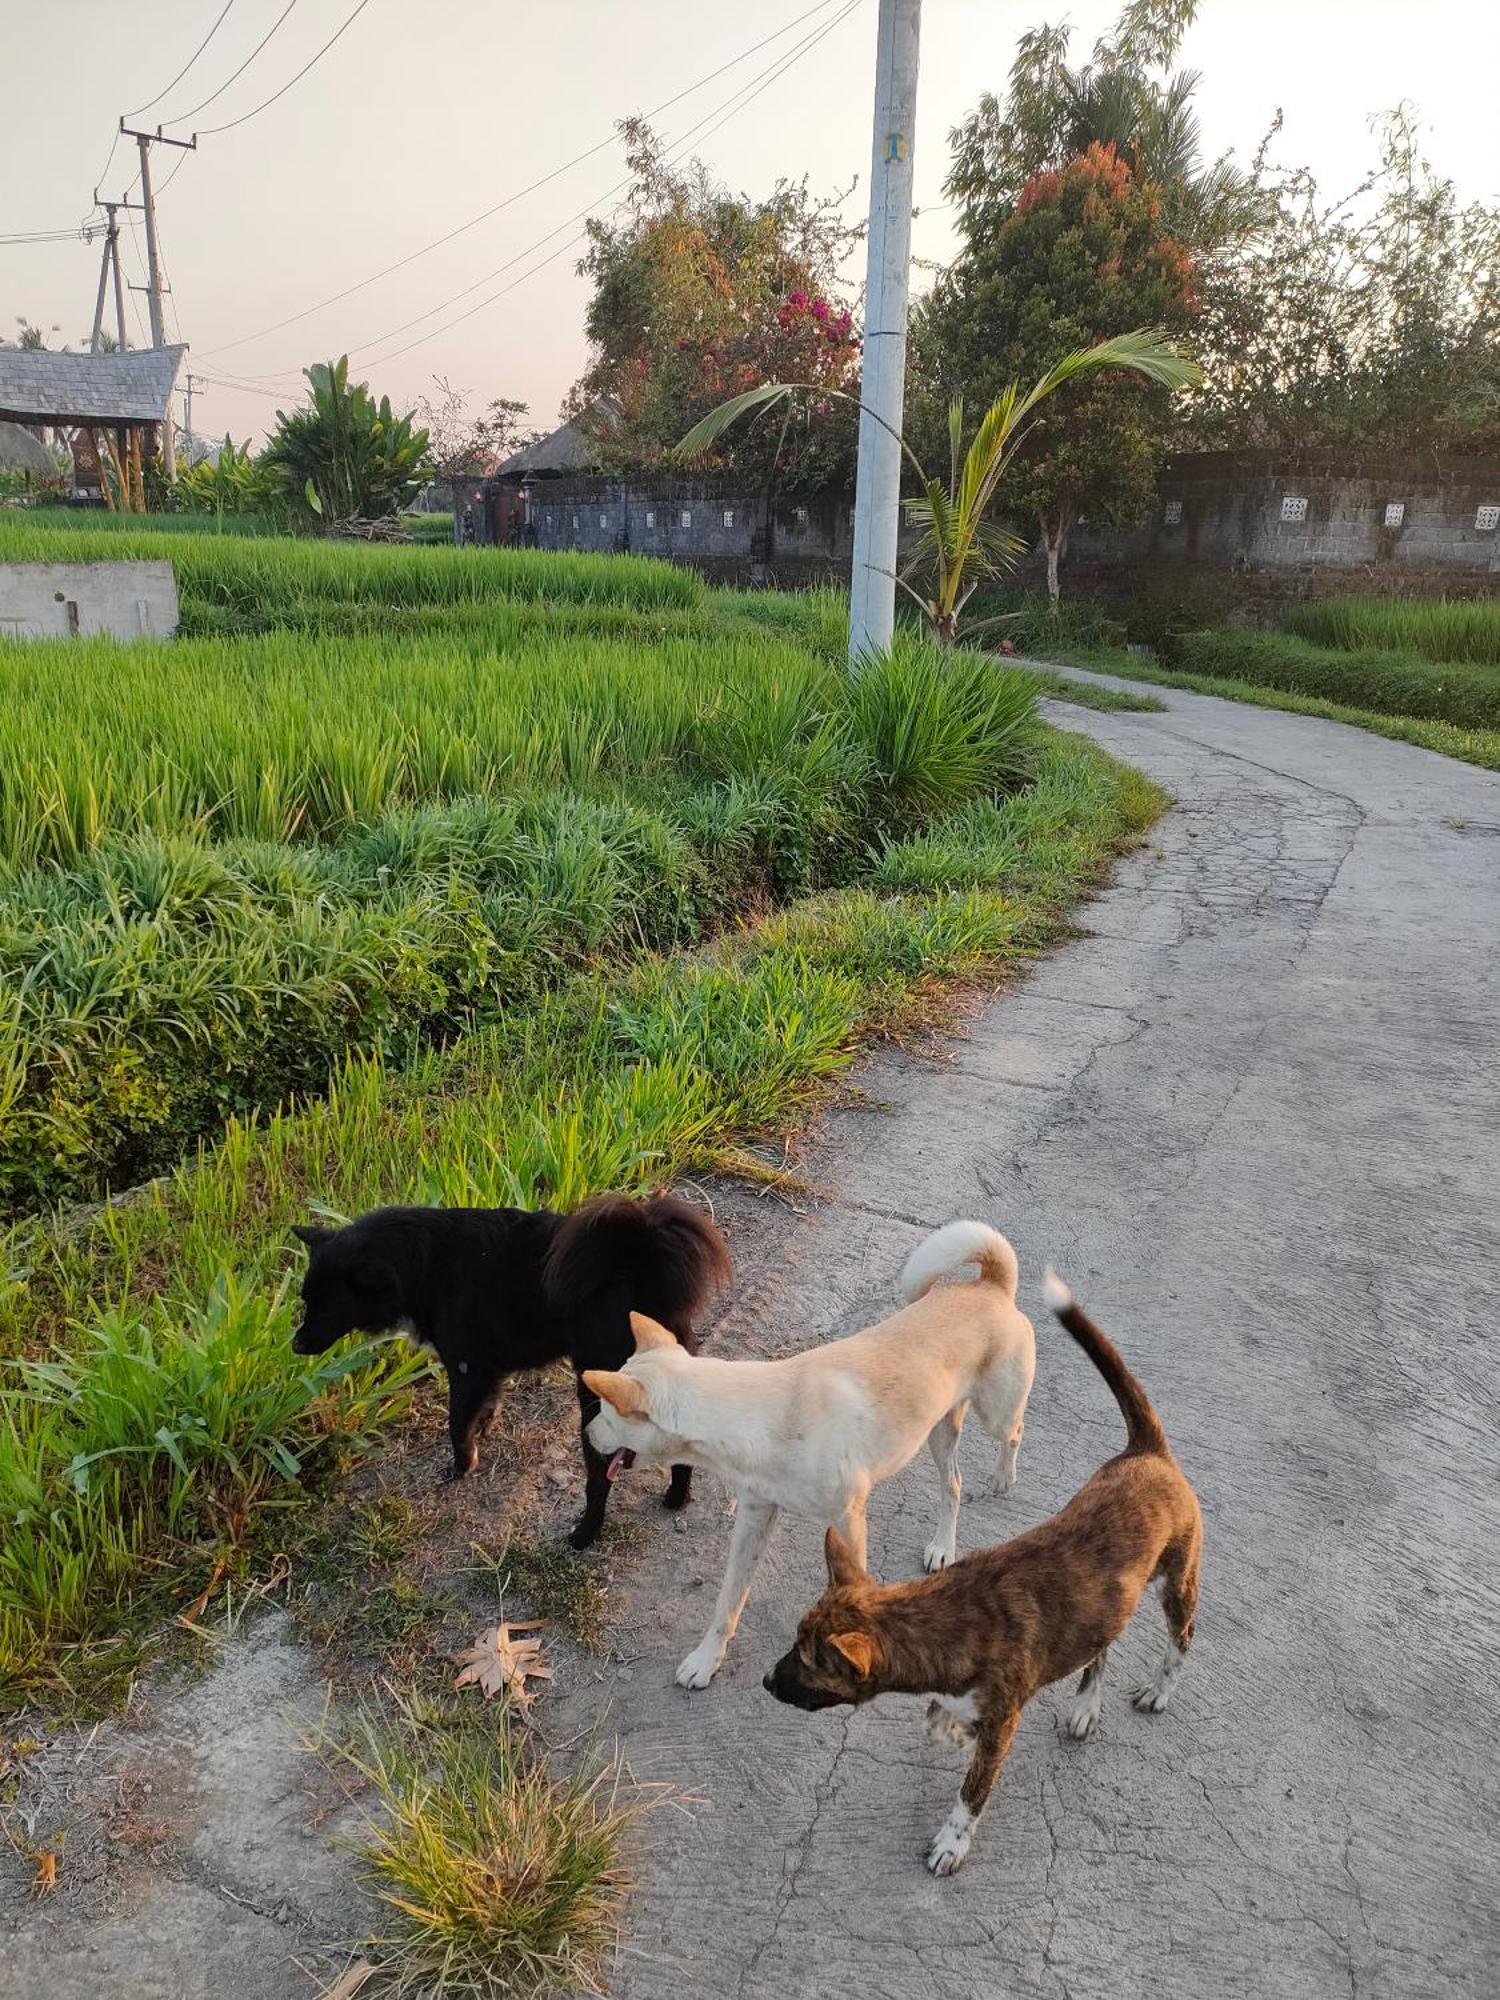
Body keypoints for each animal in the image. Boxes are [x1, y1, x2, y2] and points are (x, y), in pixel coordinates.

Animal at [290, 1192, 732, 1552]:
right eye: (305, 1299)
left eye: (326, 1306)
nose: (295, 1346)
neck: (424, 1263)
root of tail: (637, 1264)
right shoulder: (489, 1370)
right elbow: (484, 1409)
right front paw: (483, 1431)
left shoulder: (467, 1368)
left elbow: (456, 1424)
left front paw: (461, 1465)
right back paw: (676, 1499)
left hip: (598, 1400)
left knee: (600, 1477)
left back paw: (584, 1535)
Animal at [584, 1216, 1032, 1688]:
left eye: (604, 1413)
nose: (589, 1434)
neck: (760, 1415)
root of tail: (988, 1285)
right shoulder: (754, 1518)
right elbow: (728, 1601)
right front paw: (707, 1659)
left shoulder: (848, 1520)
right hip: (939, 1432)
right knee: (954, 1485)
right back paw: (943, 1546)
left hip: (996, 1413)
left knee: (1013, 1433)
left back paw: (1004, 1476)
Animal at [768, 1264, 1208, 1872]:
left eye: (810, 1663)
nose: (767, 1681)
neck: (946, 1619)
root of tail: (1147, 1452)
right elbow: (945, 1719)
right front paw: (951, 1728)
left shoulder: (1004, 1722)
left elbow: (972, 1789)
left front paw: (952, 1841)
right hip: (1105, 1602)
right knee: (1101, 1647)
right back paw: (1085, 1706)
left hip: (1178, 1576)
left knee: (1181, 1637)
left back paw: (1159, 1690)